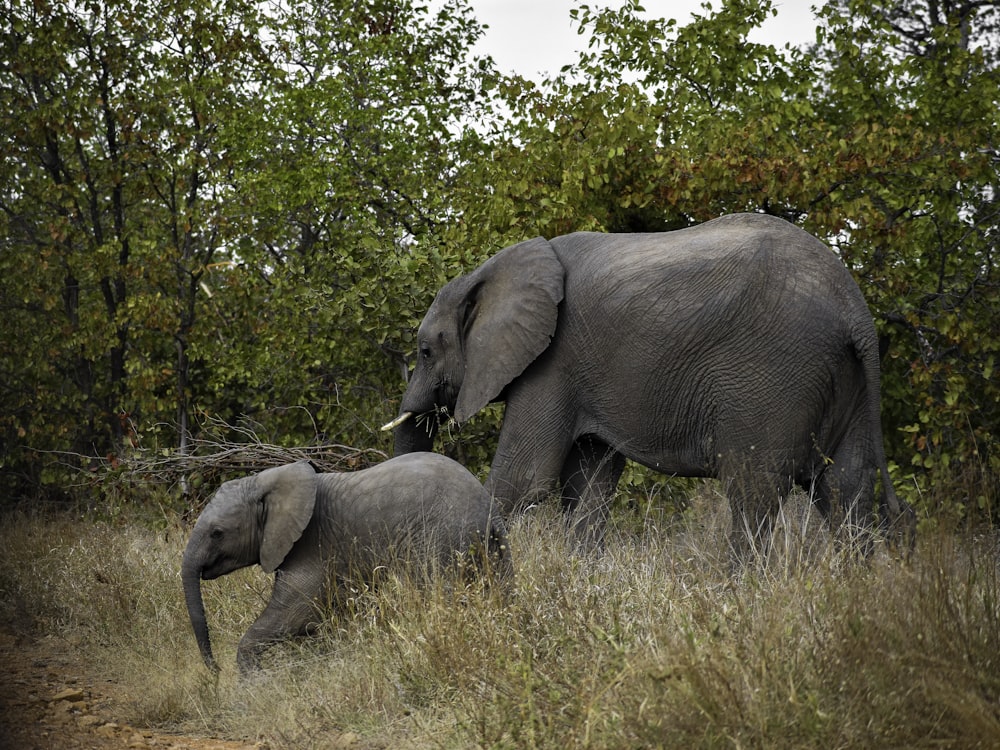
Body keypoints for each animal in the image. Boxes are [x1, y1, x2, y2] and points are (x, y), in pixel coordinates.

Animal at [181, 452, 512, 676]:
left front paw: (254, 682)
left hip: (440, 539)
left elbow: (297, 613)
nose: (216, 671)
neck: (268, 481)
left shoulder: (310, 545)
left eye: (217, 533)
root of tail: (489, 509)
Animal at [386, 212, 916, 560]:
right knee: (845, 491)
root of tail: (854, 307)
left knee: (753, 492)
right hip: (846, 380)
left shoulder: (552, 364)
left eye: (426, 352)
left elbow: (525, 478)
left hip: (774, 379)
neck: (488, 272)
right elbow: (589, 484)